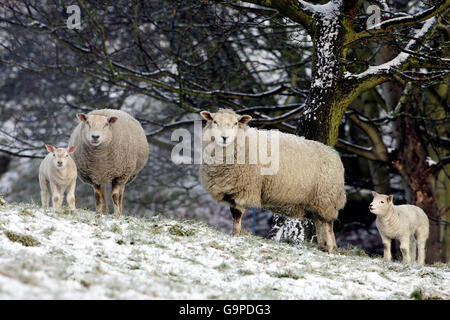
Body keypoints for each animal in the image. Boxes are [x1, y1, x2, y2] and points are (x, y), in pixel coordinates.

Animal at [199, 109, 346, 254]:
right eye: (215, 121)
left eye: (235, 123)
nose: (224, 138)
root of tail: (335, 155)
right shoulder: (232, 189)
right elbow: (234, 214)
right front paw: (234, 233)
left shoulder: (245, 189)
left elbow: (237, 214)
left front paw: (235, 234)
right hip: (319, 201)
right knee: (320, 222)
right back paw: (325, 247)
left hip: (326, 199)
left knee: (327, 224)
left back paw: (329, 247)